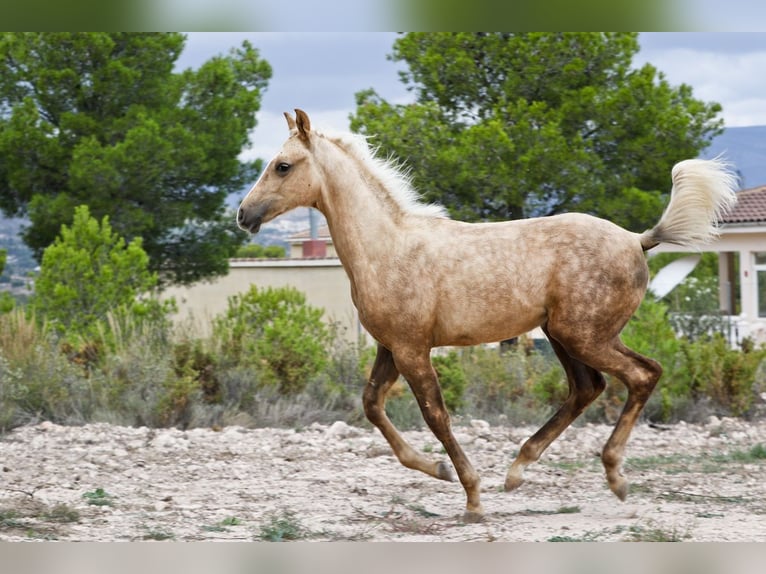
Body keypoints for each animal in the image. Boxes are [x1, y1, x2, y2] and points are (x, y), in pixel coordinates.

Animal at [238, 108, 736, 520]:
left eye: (283, 165)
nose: (244, 215)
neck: (387, 247)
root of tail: (637, 239)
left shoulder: (412, 349)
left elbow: (436, 416)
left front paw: (472, 498)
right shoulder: (391, 346)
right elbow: (372, 405)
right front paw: (437, 470)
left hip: (585, 335)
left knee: (641, 375)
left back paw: (614, 477)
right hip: (561, 334)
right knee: (587, 388)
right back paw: (518, 470)